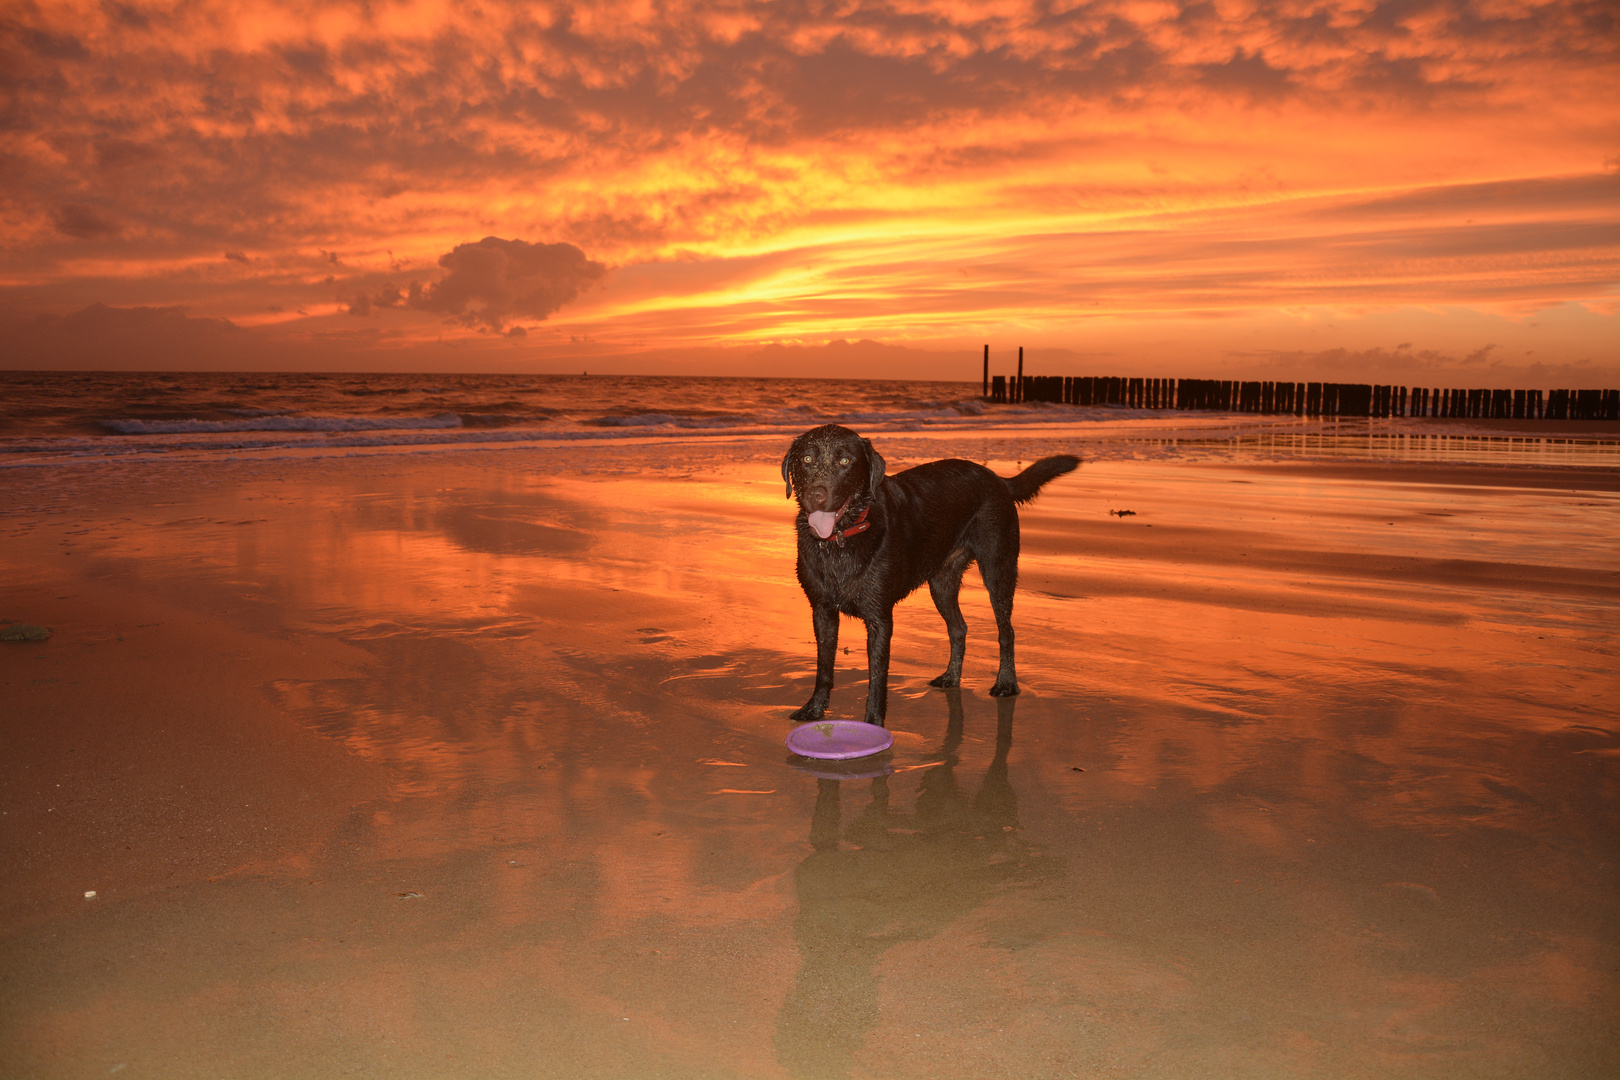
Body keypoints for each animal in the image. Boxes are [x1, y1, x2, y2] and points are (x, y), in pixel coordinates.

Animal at [784, 424, 1075, 725]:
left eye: (845, 461)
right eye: (806, 459)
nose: (816, 495)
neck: (842, 538)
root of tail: (998, 479)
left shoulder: (879, 618)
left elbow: (877, 676)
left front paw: (874, 721)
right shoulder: (822, 611)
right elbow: (823, 667)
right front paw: (814, 709)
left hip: (998, 569)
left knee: (1007, 631)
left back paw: (1006, 683)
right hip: (941, 583)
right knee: (959, 628)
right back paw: (951, 677)